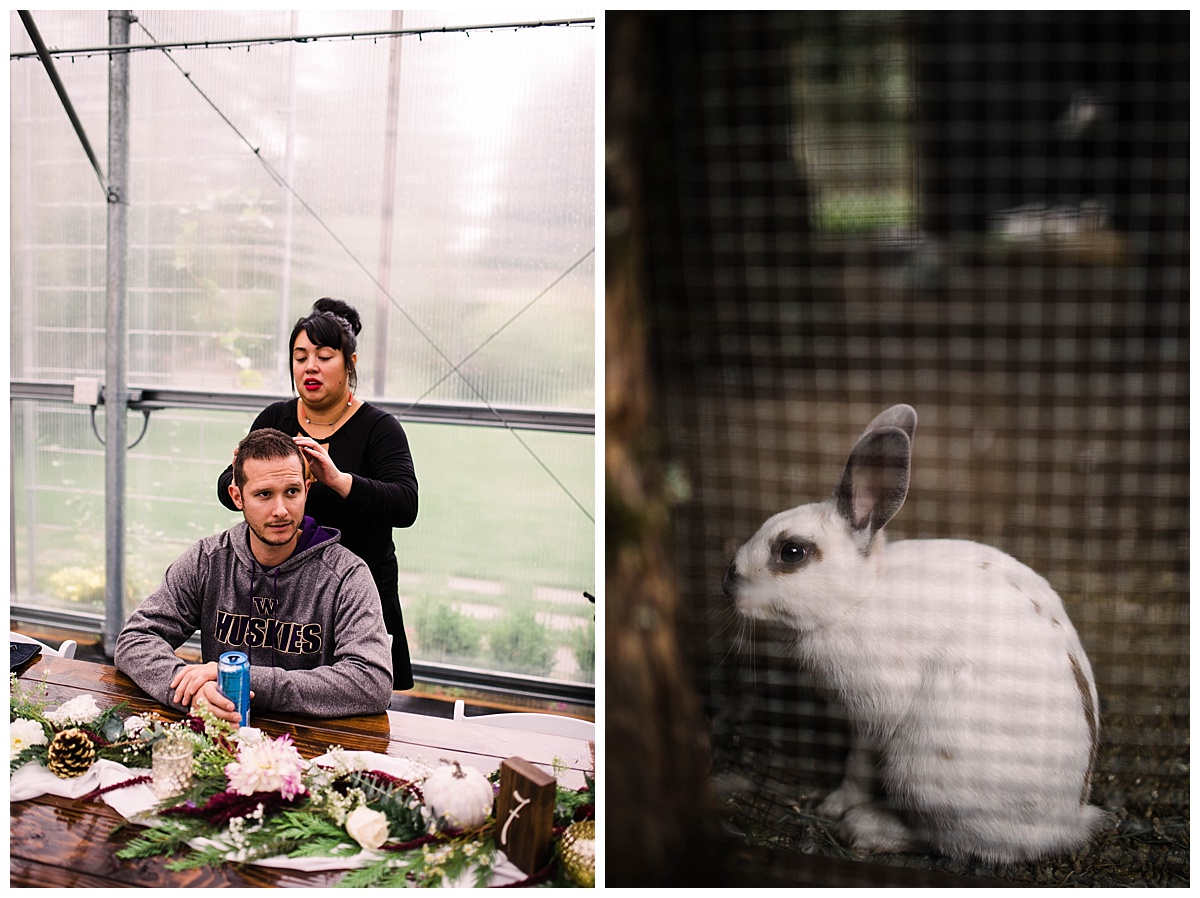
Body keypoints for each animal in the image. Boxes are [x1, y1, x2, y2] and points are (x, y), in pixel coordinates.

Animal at [720, 405, 1104, 864]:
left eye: (791, 552)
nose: (728, 582)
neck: (860, 598)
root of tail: (1064, 824)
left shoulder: (872, 717)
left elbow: (858, 766)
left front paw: (834, 805)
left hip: (923, 772)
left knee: (950, 841)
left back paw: (865, 827)